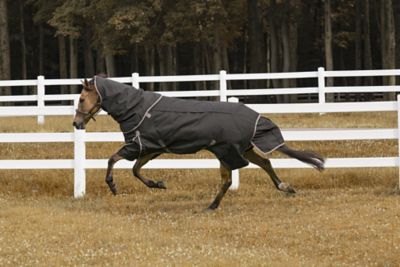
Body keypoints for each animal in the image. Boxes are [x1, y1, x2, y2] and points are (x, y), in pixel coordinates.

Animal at [72, 76, 324, 211]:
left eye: (82, 99)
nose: (76, 123)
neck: (137, 109)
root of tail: (256, 117)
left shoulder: (138, 147)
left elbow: (113, 160)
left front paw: (113, 186)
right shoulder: (152, 148)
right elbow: (135, 170)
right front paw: (158, 184)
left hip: (226, 152)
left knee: (229, 179)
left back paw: (212, 206)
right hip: (241, 149)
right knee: (264, 163)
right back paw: (285, 188)